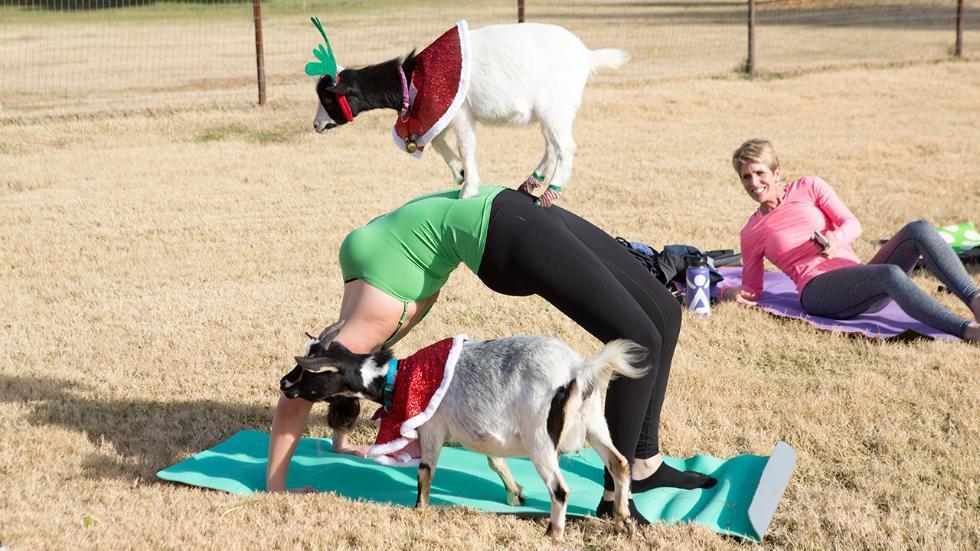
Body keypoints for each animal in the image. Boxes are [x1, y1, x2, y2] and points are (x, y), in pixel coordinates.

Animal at [280, 322, 648, 540]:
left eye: (309, 371)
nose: (284, 383)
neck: (396, 377)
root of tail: (578, 370)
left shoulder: (430, 427)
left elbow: (425, 469)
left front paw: (420, 509)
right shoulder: (487, 431)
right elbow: (494, 460)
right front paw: (516, 494)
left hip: (539, 437)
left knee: (559, 488)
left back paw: (553, 533)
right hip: (595, 423)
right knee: (619, 463)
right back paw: (623, 521)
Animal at [318, 21, 632, 207]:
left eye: (328, 97)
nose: (316, 125)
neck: (414, 76)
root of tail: (587, 56)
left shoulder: (460, 112)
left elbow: (465, 145)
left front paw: (467, 189)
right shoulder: (444, 111)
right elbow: (439, 142)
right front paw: (459, 174)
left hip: (555, 106)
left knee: (565, 147)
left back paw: (548, 194)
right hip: (552, 112)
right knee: (551, 146)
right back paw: (532, 182)